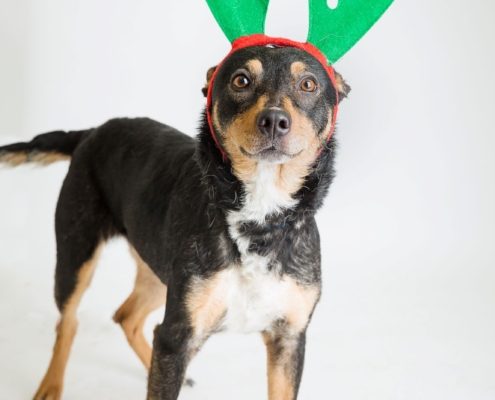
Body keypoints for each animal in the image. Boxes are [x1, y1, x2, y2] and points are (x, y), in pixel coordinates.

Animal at [0, 43, 350, 400]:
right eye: (241, 80)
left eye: (308, 84)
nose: (275, 121)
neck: (260, 218)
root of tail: (92, 132)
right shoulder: (177, 337)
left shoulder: (289, 339)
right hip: (75, 257)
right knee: (68, 322)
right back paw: (51, 385)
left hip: (159, 269)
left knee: (126, 316)